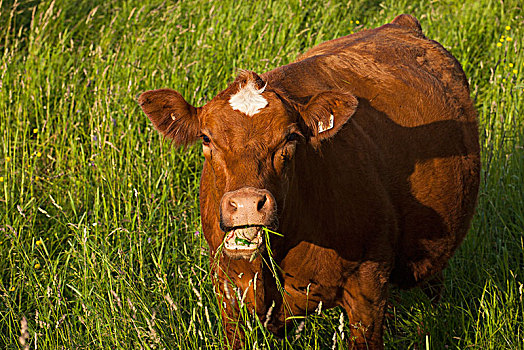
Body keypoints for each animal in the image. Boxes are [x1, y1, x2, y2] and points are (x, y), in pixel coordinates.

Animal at [138, 14, 478, 350]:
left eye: (290, 137)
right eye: (206, 138)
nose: (247, 204)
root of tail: (400, 23)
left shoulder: (368, 286)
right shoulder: (228, 289)